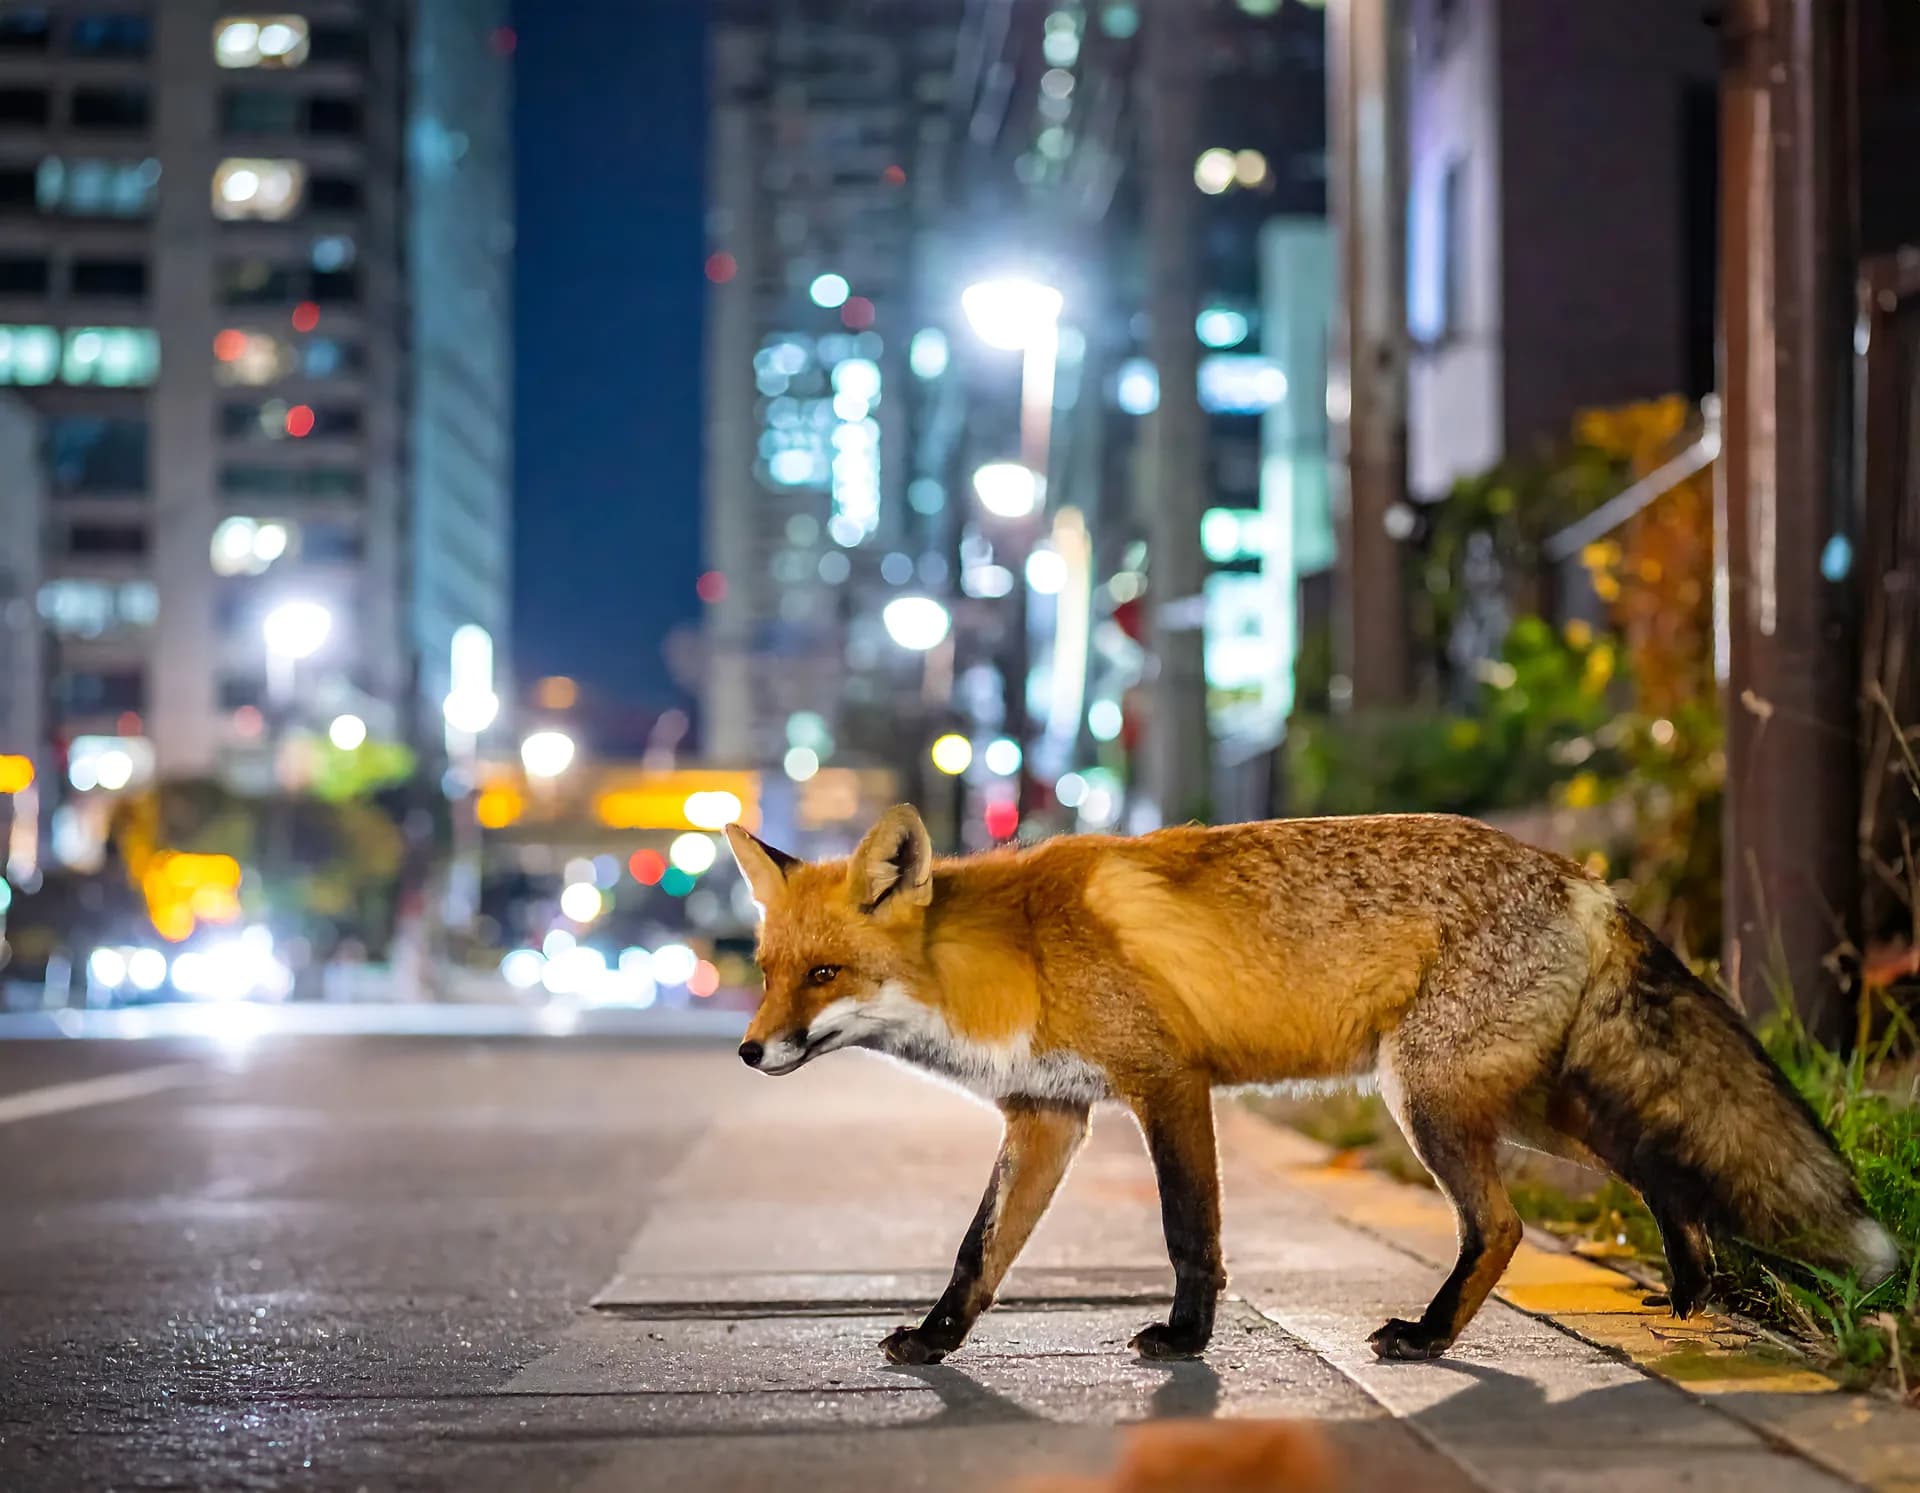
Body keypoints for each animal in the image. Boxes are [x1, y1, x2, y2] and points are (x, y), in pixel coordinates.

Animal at [724, 805, 1898, 1366]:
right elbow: (979, 1251)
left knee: (1508, 1223)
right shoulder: (1050, 1114)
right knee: (1650, 1157)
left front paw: (1185, 1340)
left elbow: (1189, 1232)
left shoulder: (1167, 1081)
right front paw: (935, 1340)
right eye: (767, 968)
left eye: (825, 974)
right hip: (1517, 1099)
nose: (748, 1051)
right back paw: (1694, 1281)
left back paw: (1431, 1336)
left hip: (1429, 1099)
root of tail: (1582, 876)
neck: (1008, 958)